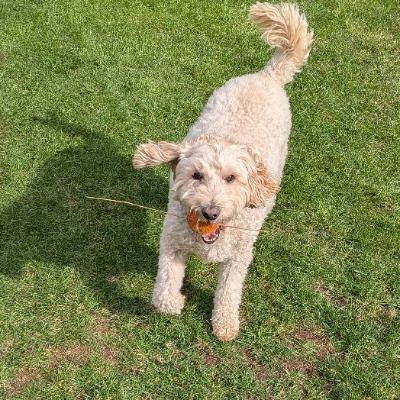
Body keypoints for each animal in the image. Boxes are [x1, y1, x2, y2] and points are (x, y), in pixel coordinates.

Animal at [132, 3, 313, 341]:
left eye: (232, 178)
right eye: (196, 176)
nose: (211, 211)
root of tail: (266, 76)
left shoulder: (239, 256)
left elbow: (229, 290)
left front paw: (225, 324)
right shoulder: (172, 240)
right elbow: (164, 292)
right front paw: (176, 301)